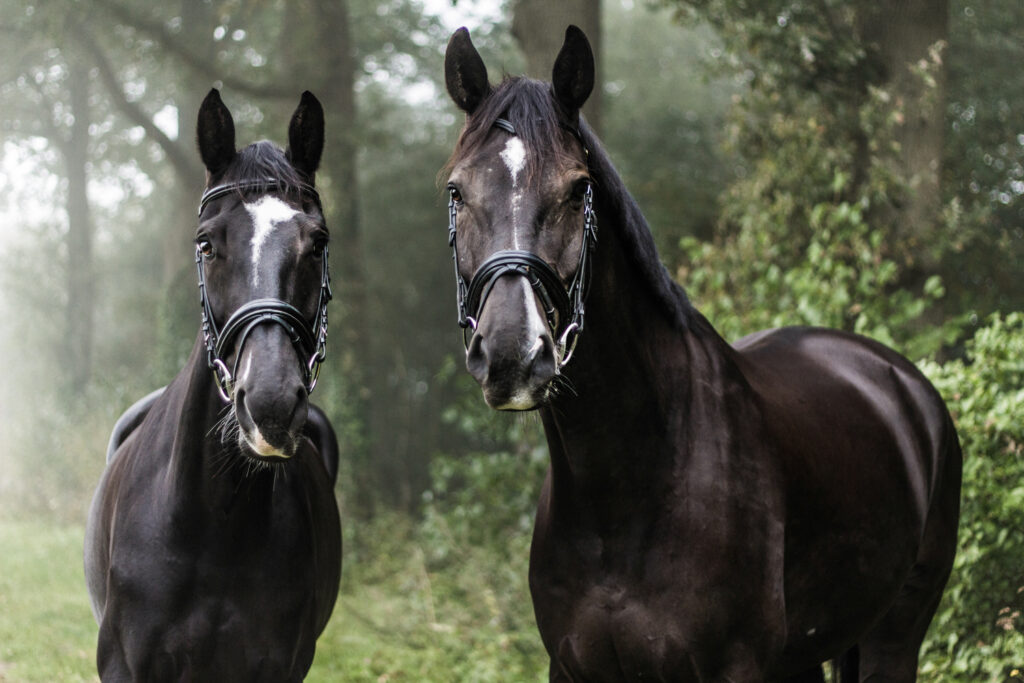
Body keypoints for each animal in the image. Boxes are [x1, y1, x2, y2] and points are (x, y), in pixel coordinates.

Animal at [442, 26, 958, 683]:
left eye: (579, 189)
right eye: (457, 191)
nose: (512, 354)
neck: (624, 488)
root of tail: (905, 384)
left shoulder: (735, 666)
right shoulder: (571, 666)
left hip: (895, 636)